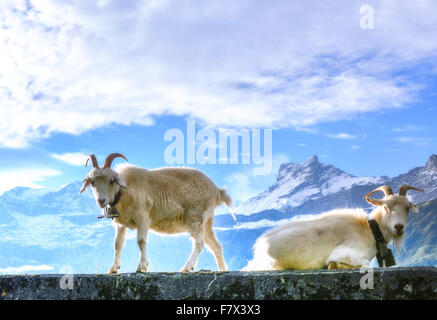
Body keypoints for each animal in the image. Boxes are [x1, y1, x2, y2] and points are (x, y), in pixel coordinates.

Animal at [79, 154, 233, 274]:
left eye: (112, 181)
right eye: (92, 182)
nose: (101, 201)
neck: (124, 190)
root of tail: (216, 190)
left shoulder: (143, 218)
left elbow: (141, 241)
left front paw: (142, 267)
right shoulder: (121, 224)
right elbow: (118, 244)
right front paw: (113, 268)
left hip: (196, 217)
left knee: (199, 243)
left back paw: (186, 268)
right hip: (206, 222)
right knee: (216, 247)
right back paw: (222, 270)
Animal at [242, 185, 422, 270]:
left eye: (407, 208)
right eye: (386, 207)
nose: (398, 227)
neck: (369, 231)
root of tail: (259, 248)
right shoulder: (345, 253)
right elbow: (365, 265)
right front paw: (333, 265)